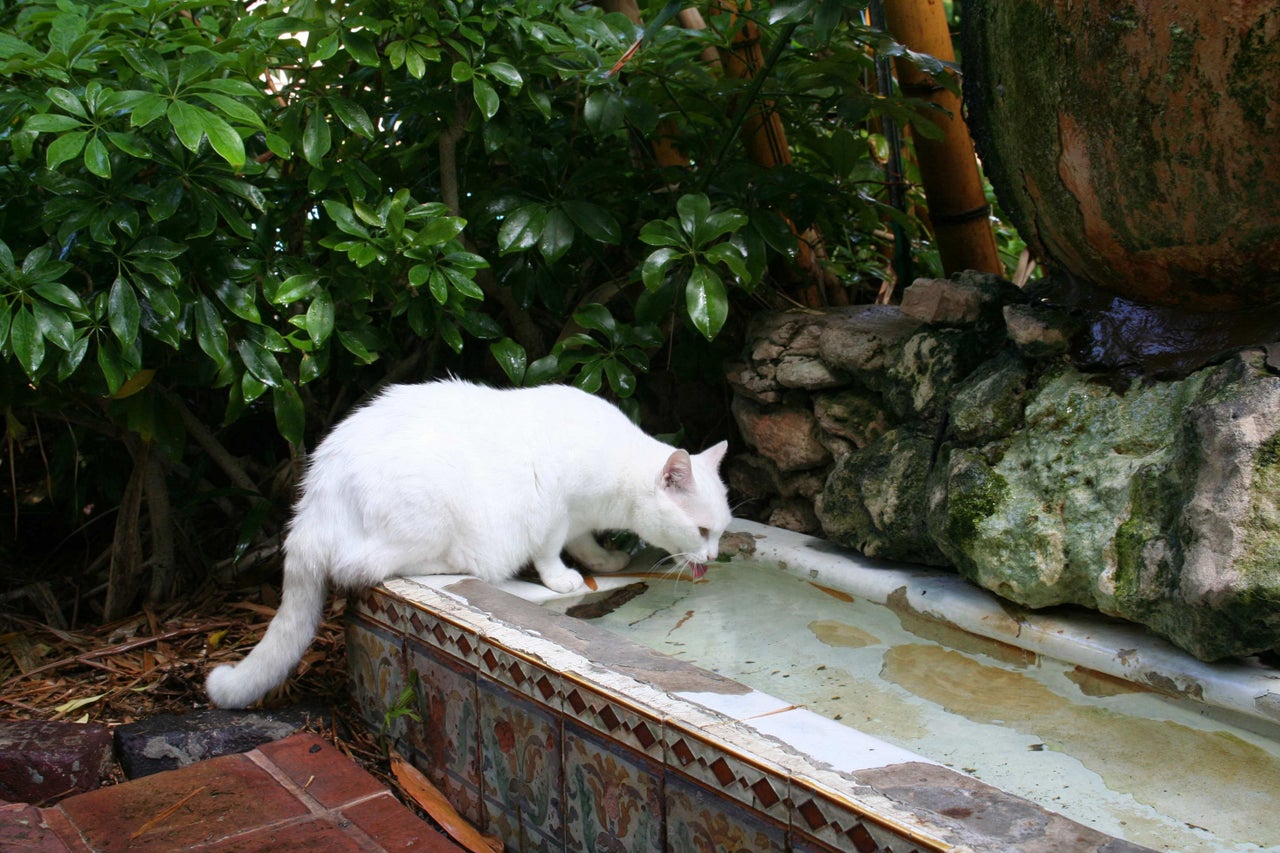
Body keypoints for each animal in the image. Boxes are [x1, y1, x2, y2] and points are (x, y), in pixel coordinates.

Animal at [206, 379, 737, 701]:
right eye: (702, 531)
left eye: (720, 531)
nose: (712, 555)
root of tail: (313, 499)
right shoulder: (551, 509)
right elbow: (551, 551)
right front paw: (562, 580)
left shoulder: (579, 520)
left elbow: (585, 542)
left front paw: (604, 561)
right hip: (427, 514)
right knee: (366, 567)